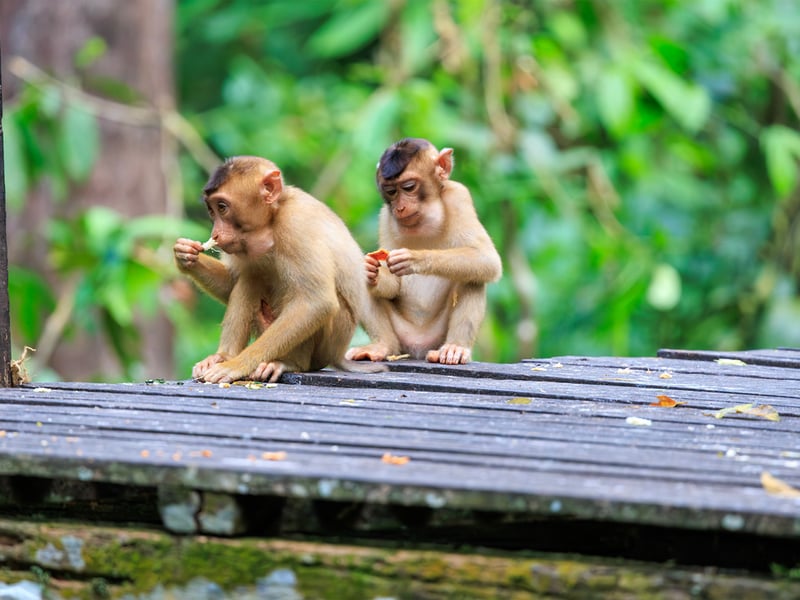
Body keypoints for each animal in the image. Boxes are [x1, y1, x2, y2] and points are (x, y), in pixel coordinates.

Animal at [173, 155, 385, 383]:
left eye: (222, 207)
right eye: (211, 210)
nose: (216, 234)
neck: (273, 219)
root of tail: (337, 356)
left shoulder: (295, 225)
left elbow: (316, 302)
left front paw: (236, 366)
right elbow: (232, 282)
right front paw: (185, 255)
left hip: (328, 343)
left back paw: (288, 363)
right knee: (251, 278)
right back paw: (223, 356)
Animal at [346, 138, 502, 365]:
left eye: (409, 187)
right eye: (391, 191)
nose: (400, 207)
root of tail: (418, 347)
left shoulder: (459, 196)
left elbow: (486, 258)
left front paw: (412, 259)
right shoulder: (385, 217)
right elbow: (393, 286)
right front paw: (371, 269)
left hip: (437, 336)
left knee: (473, 276)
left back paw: (455, 347)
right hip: (402, 334)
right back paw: (381, 346)